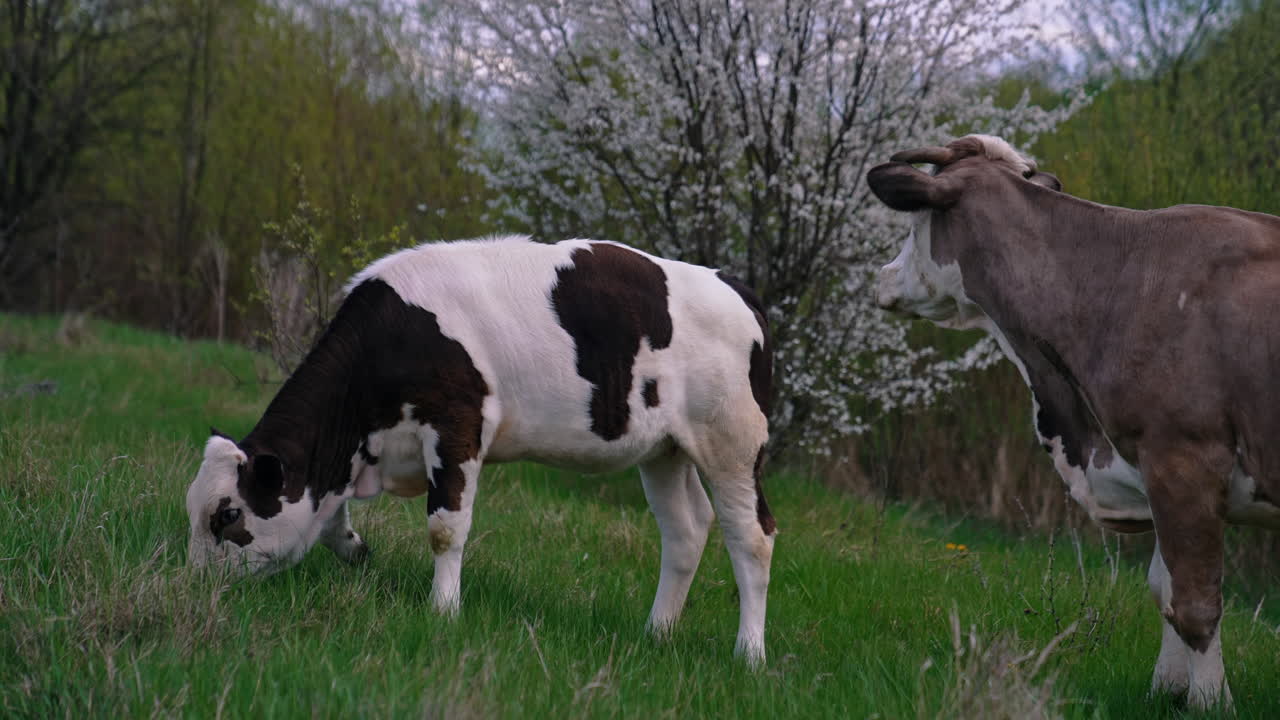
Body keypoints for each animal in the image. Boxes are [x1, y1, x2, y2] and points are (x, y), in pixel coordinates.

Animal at [185, 235, 776, 664]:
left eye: (226, 514)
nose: (193, 584)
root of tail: (734, 286)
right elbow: (331, 520)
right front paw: (356, 551)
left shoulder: (456, 425)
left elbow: (445, 528)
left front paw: (443, 612)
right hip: (665, 450)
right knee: (686, 529)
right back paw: (656, 633)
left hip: (733, 442)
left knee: (752, 535)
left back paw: (749, 655)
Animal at [866, 134, 1280, 709]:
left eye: (913, 224)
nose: (880, 278)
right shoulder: (1152, 467)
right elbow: (1165, 587)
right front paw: (1166, 690)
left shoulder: (1183, 457)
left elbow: (1196, 603)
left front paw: (1211, 703)